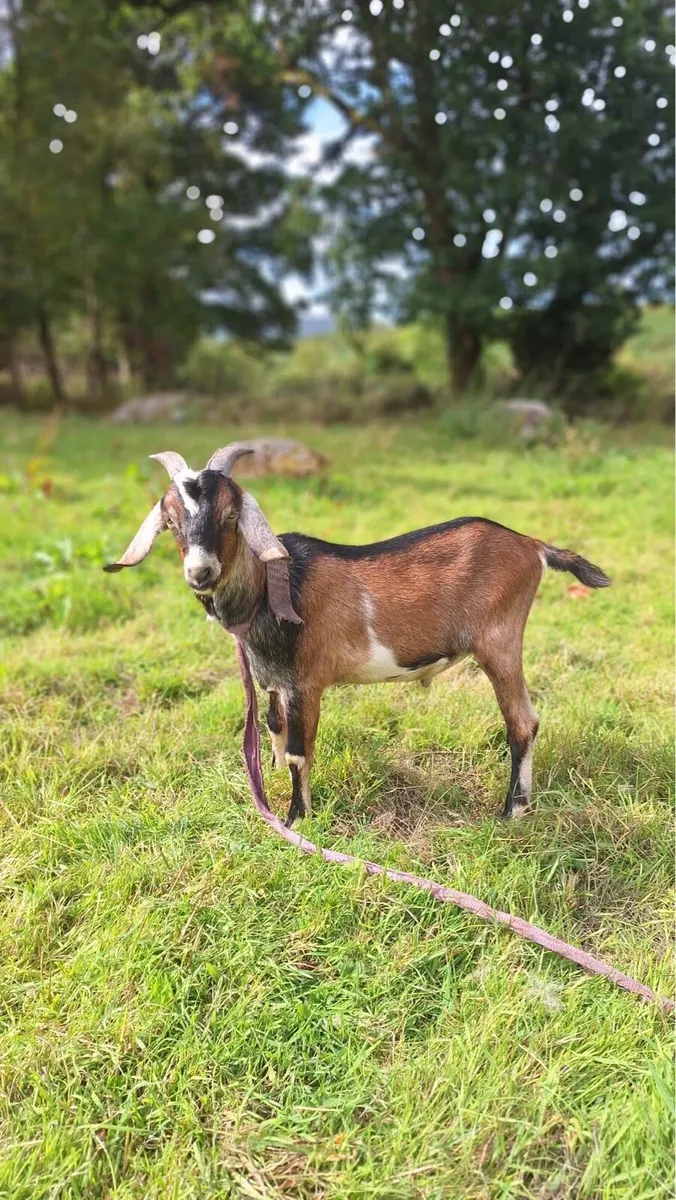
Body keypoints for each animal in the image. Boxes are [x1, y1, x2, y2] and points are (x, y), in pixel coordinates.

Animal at [104, 444, 610, 827]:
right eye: (171, 521)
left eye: (230, 516)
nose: (201, 572)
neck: (271, 590)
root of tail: (531, 545)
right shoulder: (276, 683)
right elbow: (273, 729)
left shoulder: (306, 684)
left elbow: (298, 753)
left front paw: (295, 820)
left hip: (499, 641)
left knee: (522, 722)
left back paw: (512, 811)